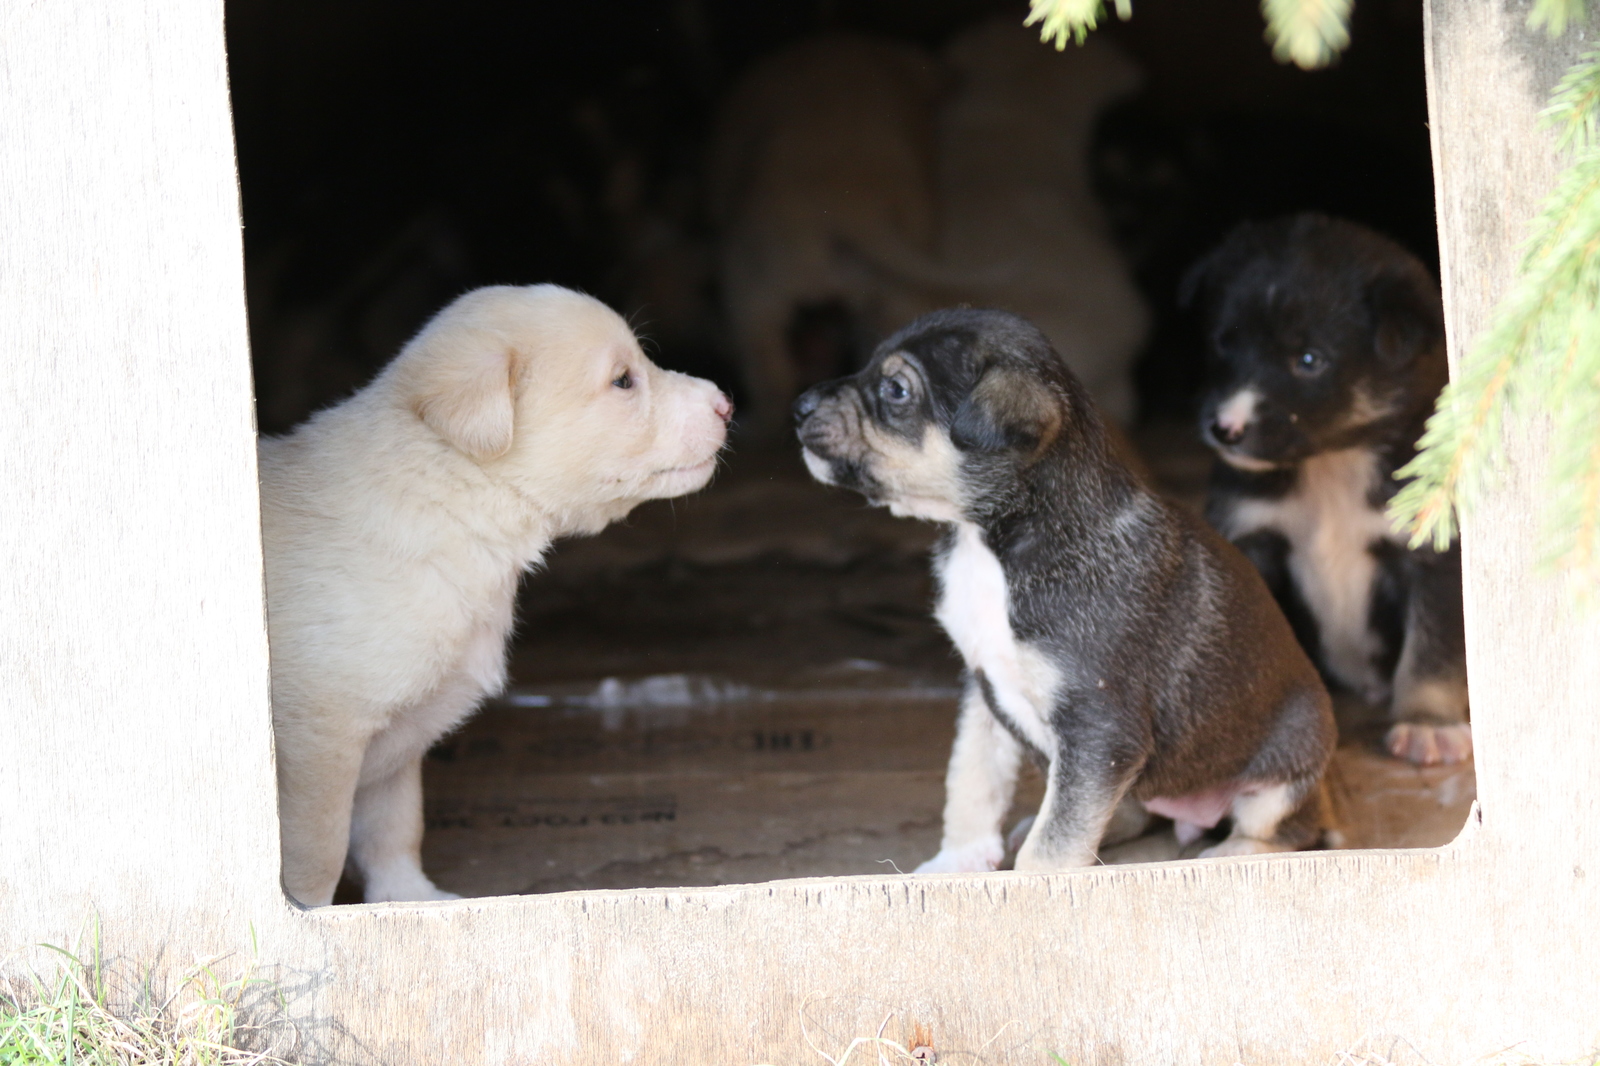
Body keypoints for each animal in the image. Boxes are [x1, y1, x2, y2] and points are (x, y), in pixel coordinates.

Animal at [260, 284, 732, 902]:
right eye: (623, 381)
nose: (726, 404)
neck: (451, 496)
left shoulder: (397, 745)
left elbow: (394, 829)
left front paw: (412, 901)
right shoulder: (319, 737)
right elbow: (316, 857)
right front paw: (307, 917)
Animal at [793, 307, 1331, 870]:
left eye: (896, 390)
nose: (798, 406)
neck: (993, 544)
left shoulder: (1099, 728)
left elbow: (1051, 846)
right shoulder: (983, 692)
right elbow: (971, 783)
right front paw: (957, 862)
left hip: (1287, 771)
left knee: (1289, 827)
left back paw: (1235, 853)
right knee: (1128, 812)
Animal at [1184, 214, 1465, 765]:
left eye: (1310, 359)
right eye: (1224, 342)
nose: (1224, 428)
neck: (1331, 468)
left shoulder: (1432, 555)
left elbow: (1433, 648)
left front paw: (1428, 723)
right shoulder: (1254, 539)